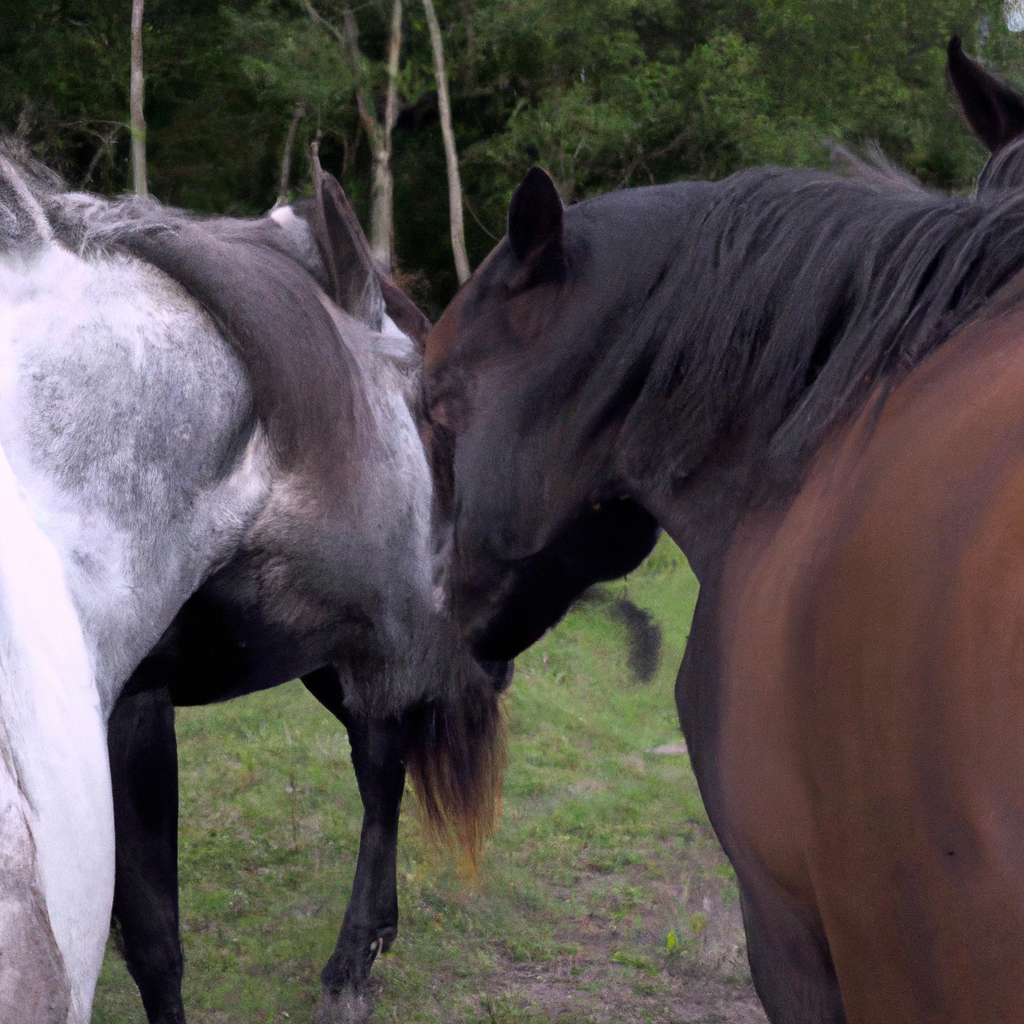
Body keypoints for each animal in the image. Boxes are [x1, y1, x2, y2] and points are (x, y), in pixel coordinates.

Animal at [1, 151, 507, 1024]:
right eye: (436, 422)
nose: (502, 642)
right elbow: (152, 938)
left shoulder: (139, 703)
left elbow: (155, 942)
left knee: (382, 772)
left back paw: (352, 964)